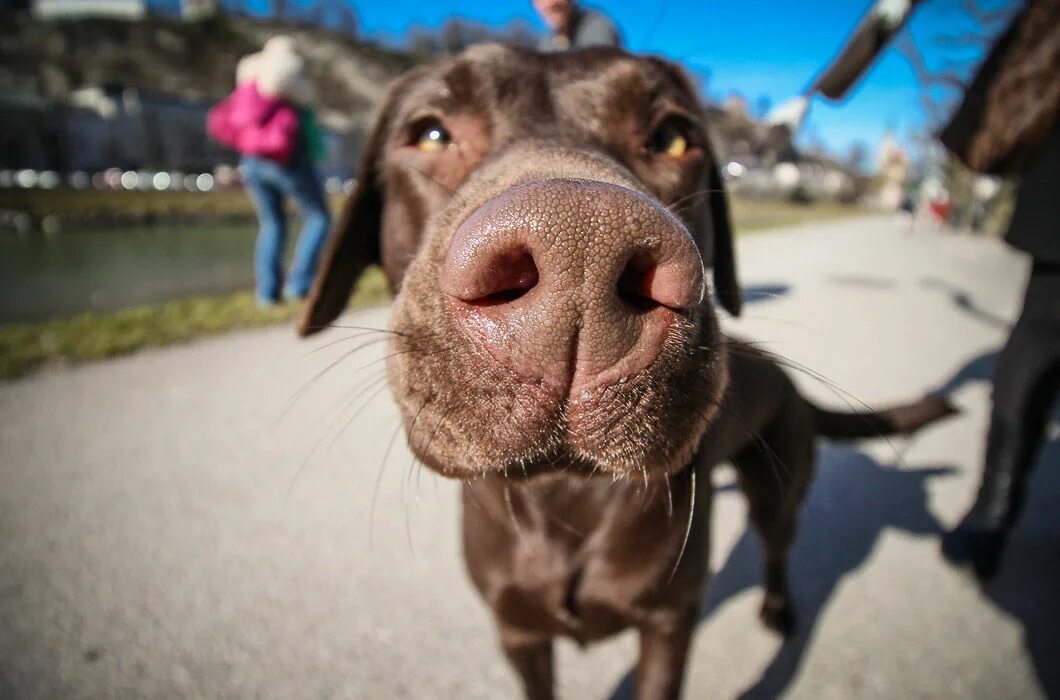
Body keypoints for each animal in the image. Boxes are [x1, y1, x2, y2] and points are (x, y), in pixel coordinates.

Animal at [296, 45, 953, 699]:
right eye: (431, 132)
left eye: (672, 138)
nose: (580, 248)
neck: (566, 497)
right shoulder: (518, 632)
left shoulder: (669, 623)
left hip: (778, 483)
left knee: (776, 545)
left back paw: (777, 607)